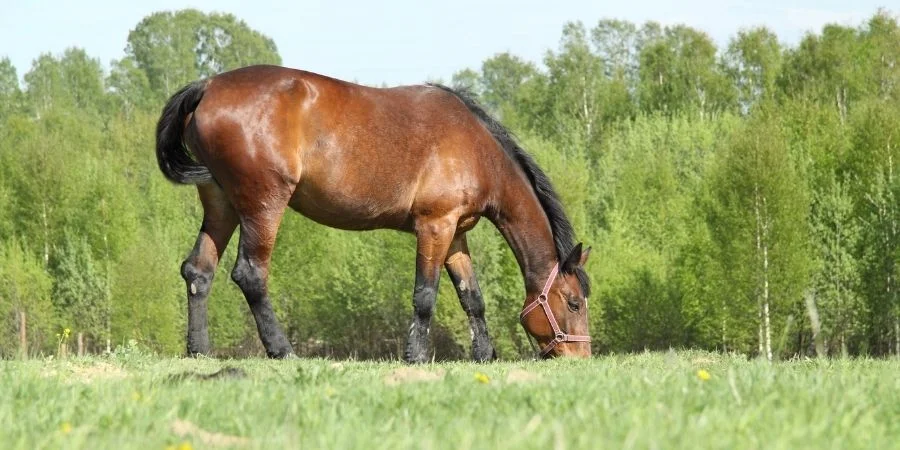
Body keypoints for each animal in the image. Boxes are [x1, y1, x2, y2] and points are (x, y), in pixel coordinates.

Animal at [155, 64, 592, 362]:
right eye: (573, 302)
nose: (580, 357)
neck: (478, 149)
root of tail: (208, 87)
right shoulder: (435, 226)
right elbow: (425, 295)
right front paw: (416, 356)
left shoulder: (456, 233)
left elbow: (473, 298)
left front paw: (484, 355)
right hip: (263, 205)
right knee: (250, 274)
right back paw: (283, 350)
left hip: (221, 202)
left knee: (198, 271)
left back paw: (199, 350)